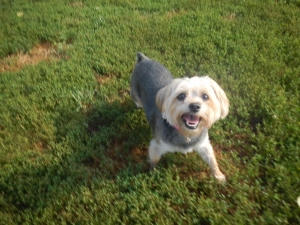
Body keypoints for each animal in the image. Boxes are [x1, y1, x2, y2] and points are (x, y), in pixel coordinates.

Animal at [129, 52, 230, 181]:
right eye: (181, 96)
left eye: (205, 96)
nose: (195, 106)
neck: (186, 134)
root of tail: (143, 59)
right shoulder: (157, 145)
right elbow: (153, 160)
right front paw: (152, 172)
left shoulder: (203, 144)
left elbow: (212, 160)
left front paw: (219, 176)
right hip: (134, 91)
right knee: (137, 100)